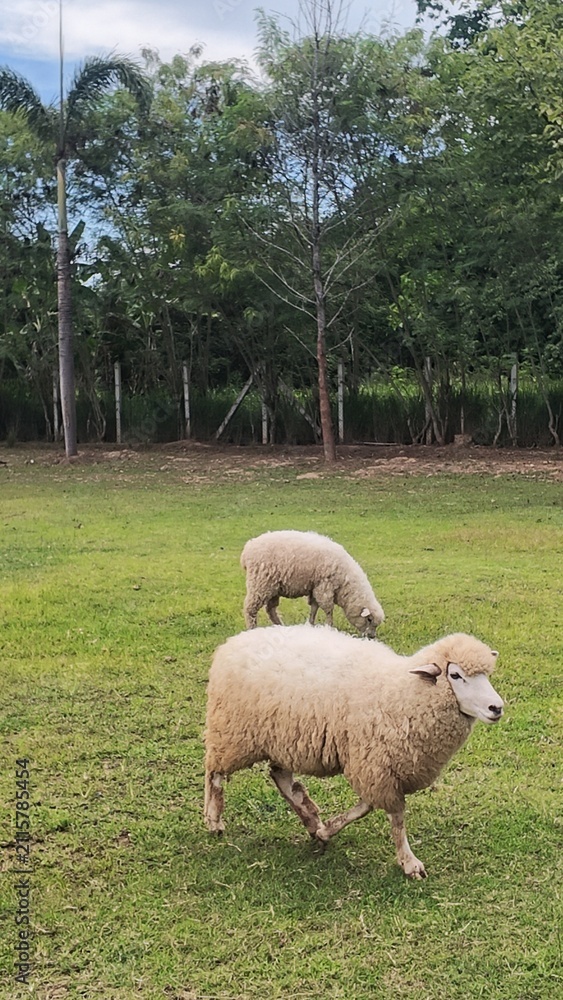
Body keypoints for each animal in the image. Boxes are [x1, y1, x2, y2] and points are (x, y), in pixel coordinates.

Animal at [204, 625, 504, 879]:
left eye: (486, 676)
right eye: (455, 675)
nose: (497, 707)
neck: (400, 693)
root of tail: (235, 642)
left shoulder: (379, 767)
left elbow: (366, 807)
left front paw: (325, 830)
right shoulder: (375, 766)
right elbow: (394, 817)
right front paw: (409, 862)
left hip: (281, 739)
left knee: (280, 776)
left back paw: (309, 816)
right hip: (232, 733)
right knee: (214, 772)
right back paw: (213, 819)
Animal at [240, 530, 384, 637]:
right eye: (369, 619)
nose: (372, 637)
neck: (345, 582)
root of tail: (247, 550)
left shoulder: (315, 587)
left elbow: (314, 608)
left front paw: (311, 625)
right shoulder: (324, 586)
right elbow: (328, 609)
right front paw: (329, 627)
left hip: (274, 587)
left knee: (270, 609)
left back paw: (281, 626)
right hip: (260, 583)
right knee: (250, 609)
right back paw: (252, 629)